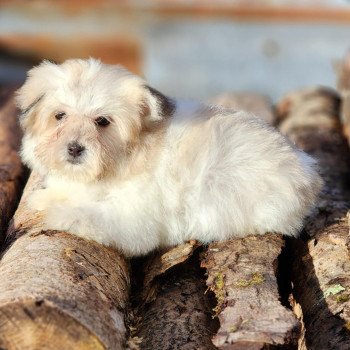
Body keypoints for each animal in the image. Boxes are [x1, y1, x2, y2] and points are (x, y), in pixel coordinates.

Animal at [16, 58, 322, 258]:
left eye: (102, 121)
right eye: (59, 116)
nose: (74, 148)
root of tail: (307, 174)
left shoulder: (132, 218)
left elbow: (91, 216)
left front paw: (62, 214)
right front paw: (46, 197)